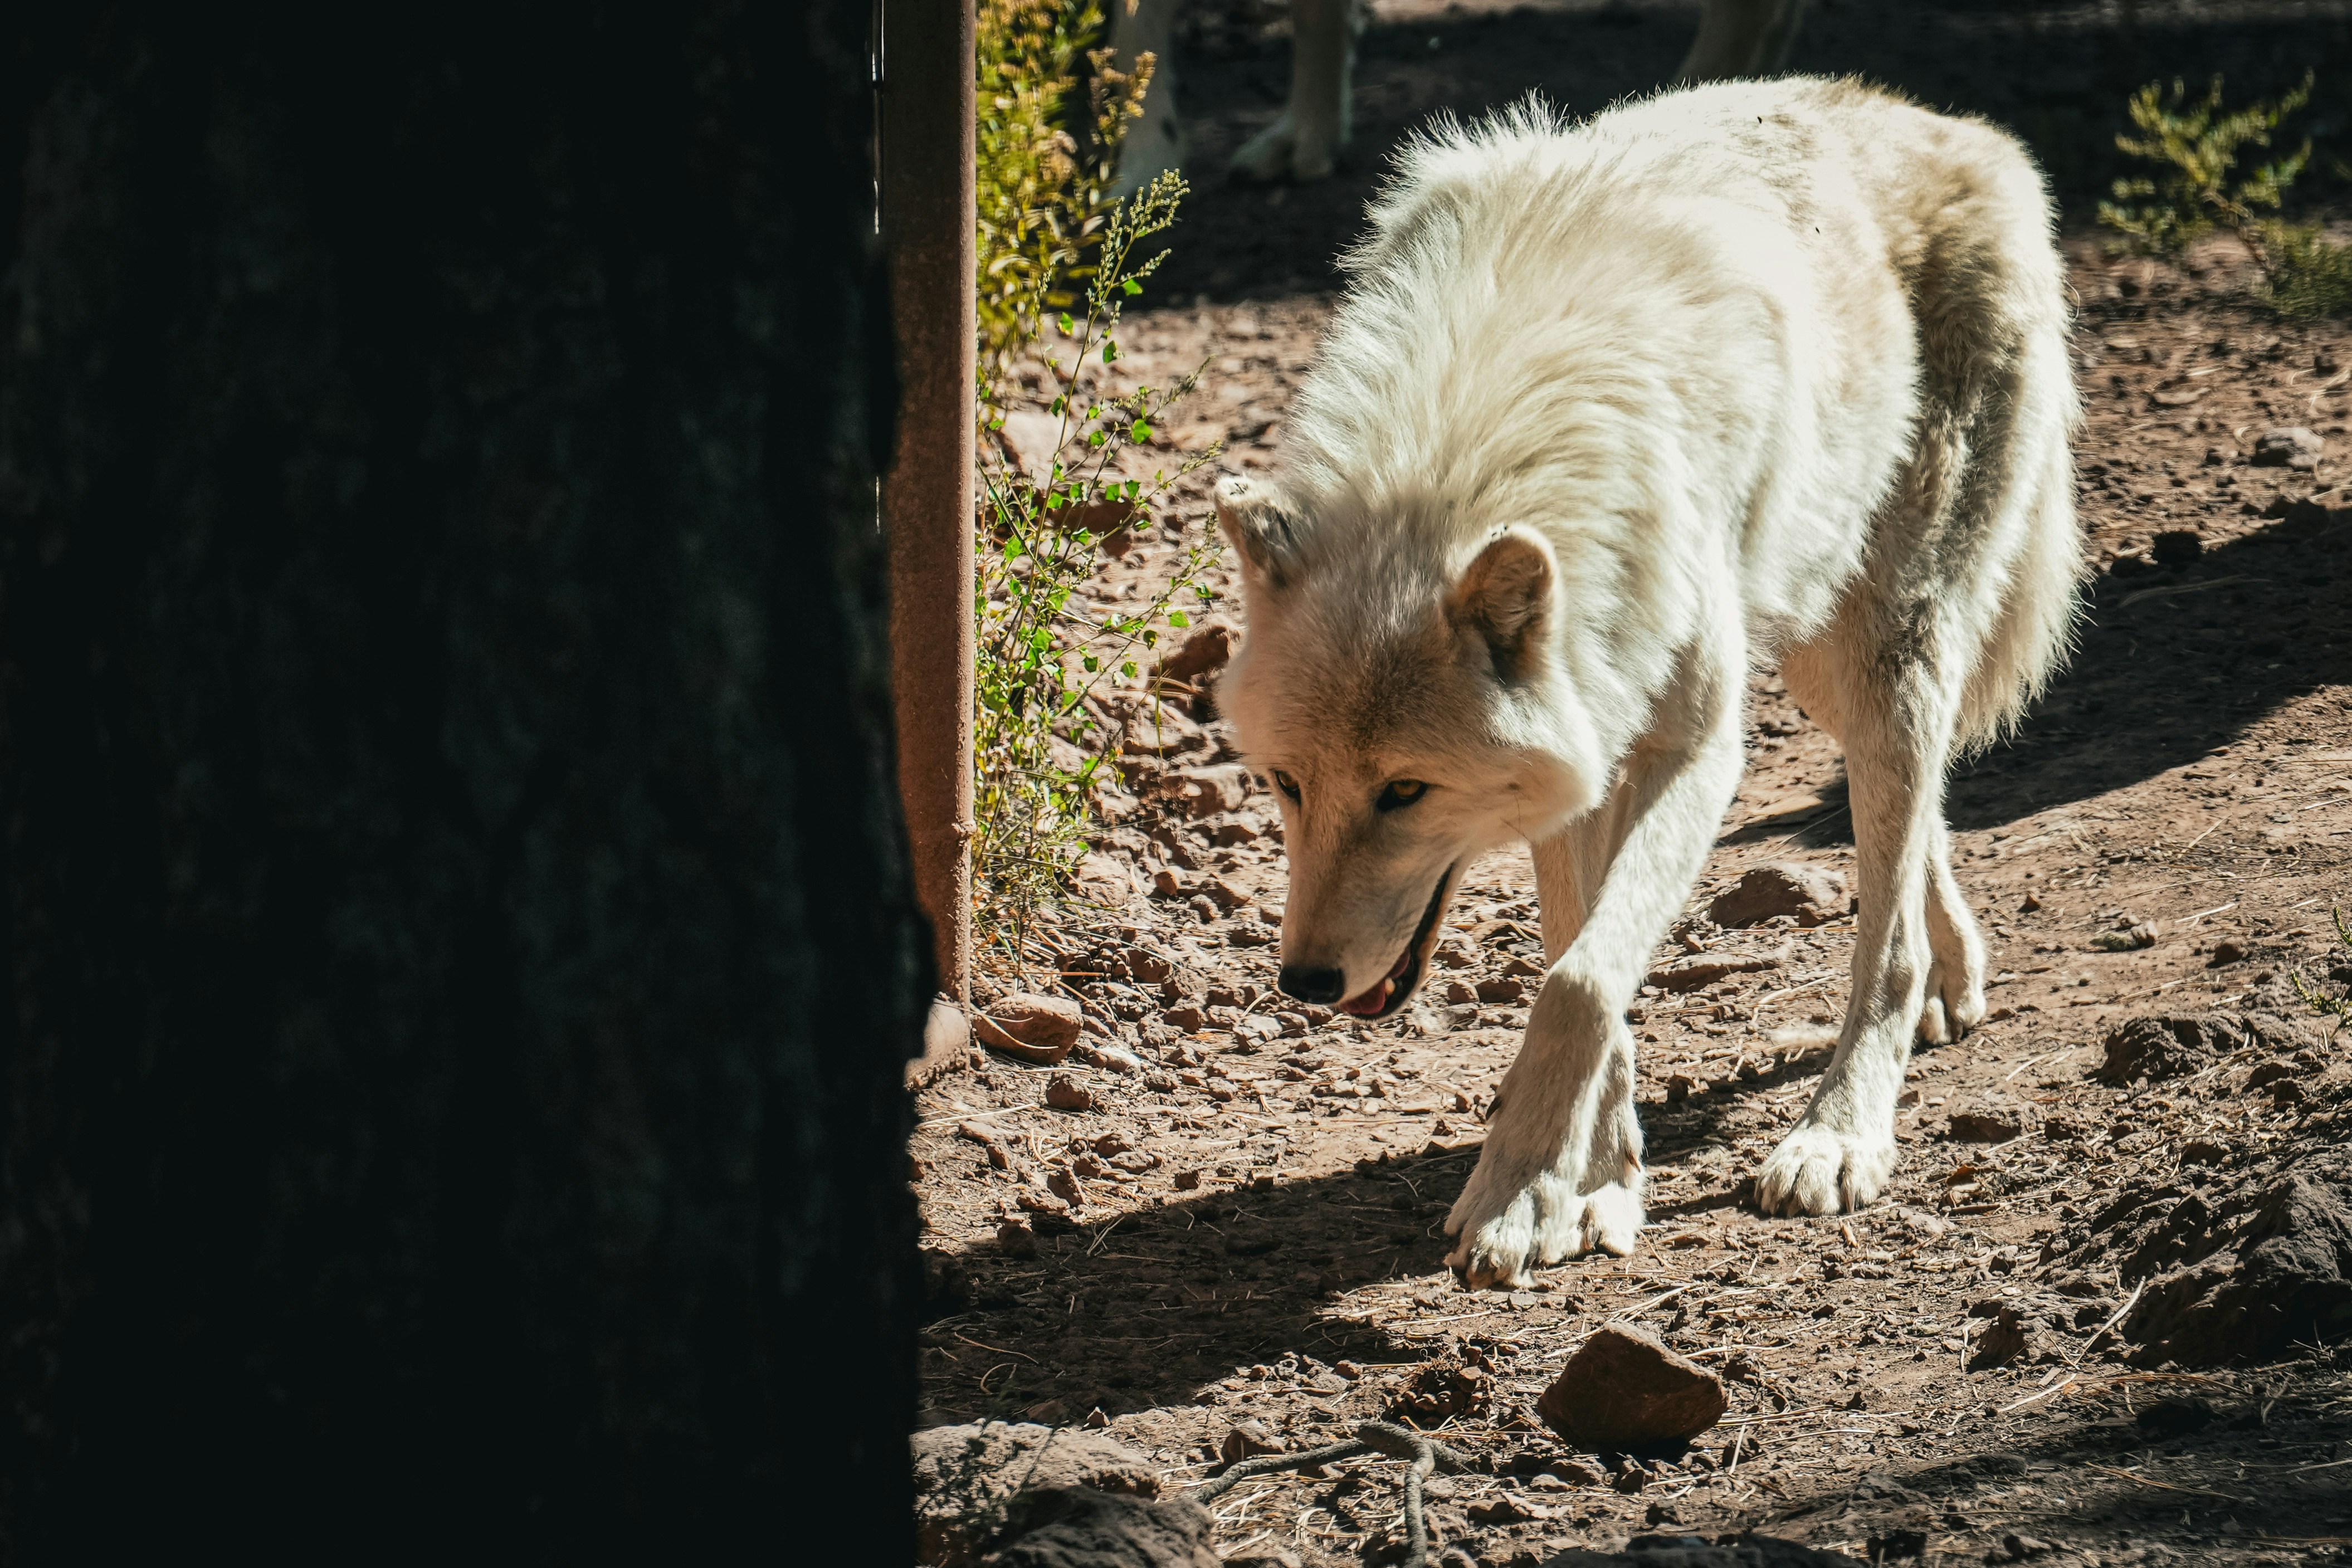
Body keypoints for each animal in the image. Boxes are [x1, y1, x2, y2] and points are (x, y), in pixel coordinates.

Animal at [1213, 78, 2081, 1287]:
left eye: (1404, 792)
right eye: (1288, 787)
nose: (1301, 983)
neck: (1471, 444)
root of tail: (1953, 126)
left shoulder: (1694, 750)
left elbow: (1576, 982)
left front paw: (1516, 1197)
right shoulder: (1584, 747)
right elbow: (1587, 965)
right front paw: (1592, 1185)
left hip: (1878, 645)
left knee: (1888, 926)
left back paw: (1839, 1134)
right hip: (1822, 659)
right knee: (1910, 829)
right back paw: (1953, 980)